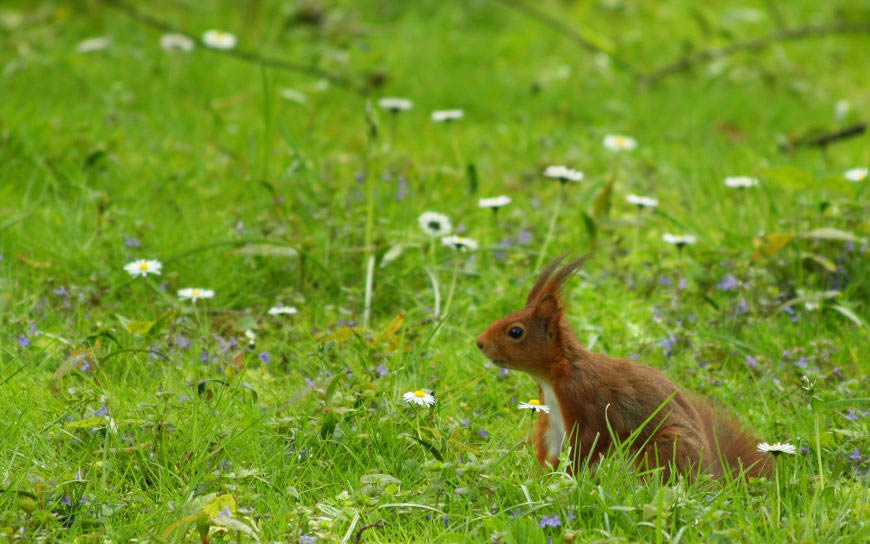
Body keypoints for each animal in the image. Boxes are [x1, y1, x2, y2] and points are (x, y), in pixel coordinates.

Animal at [476, 258, 768, 478]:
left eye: (515, 332)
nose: (479, 343)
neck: (556, 372)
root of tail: (711, 475)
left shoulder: (585, 399)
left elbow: (588, 443)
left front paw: (565, 479)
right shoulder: (552, 417)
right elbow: (550, 448)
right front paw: (542, 479)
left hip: (666, 445)